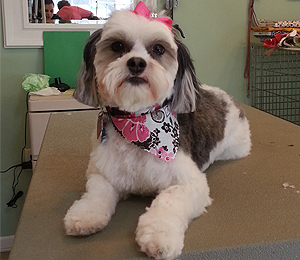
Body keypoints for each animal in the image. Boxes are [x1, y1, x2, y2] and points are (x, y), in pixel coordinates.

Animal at [64, 1, 252, 258]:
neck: (136, 122)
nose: (136, 63)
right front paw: (84, 215)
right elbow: (96, 192)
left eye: (158, 49)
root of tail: (226, 97)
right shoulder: (103, 173)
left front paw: (158, 236)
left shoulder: (188, 182)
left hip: (236, 147)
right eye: (117, 46)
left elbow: (169, 201)